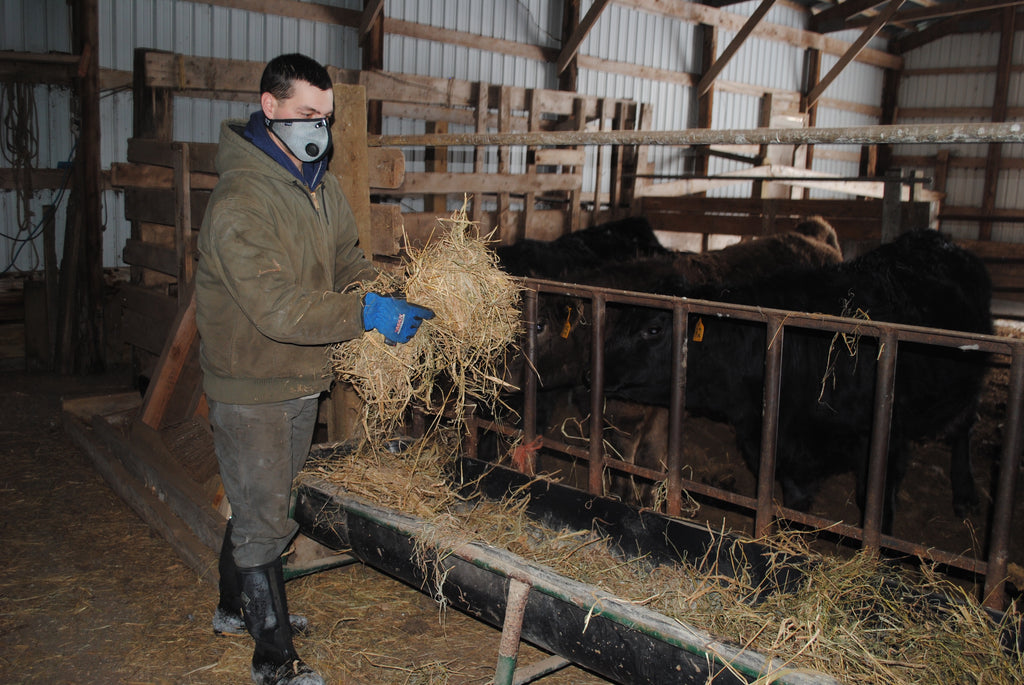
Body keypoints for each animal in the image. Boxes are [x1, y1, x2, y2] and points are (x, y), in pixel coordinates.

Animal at [602, 229, 987, 528]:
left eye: (653, 329)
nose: (596, 369)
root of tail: (933, 238)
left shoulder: (888, 442)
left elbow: (877, 510)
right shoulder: (779, 448)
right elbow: (793, 506)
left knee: (964, 427)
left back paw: (966, 494)